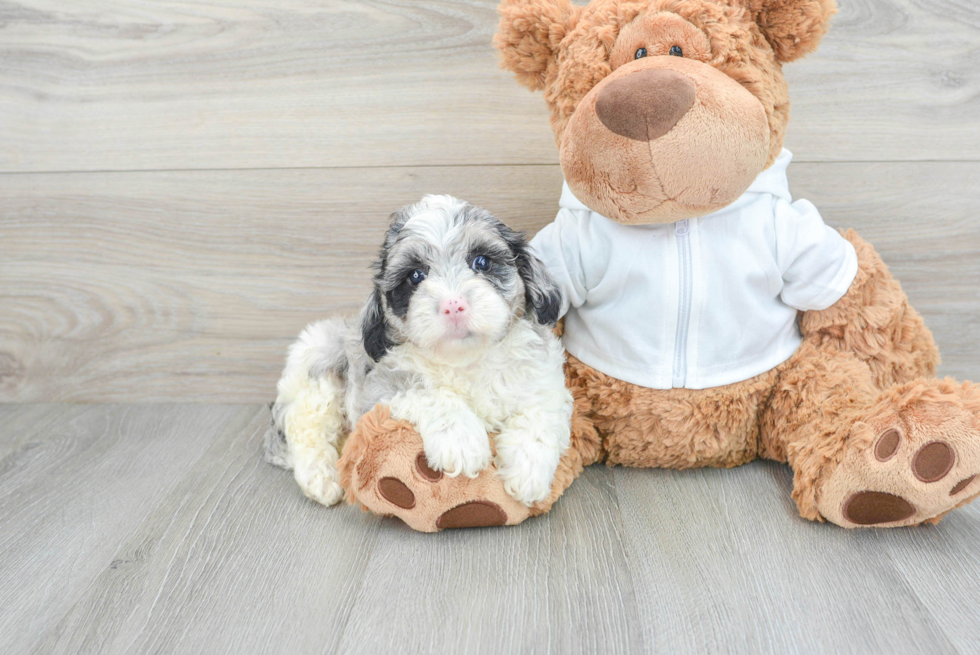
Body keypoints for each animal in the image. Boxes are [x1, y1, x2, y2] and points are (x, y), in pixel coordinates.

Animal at [268, 195, 576, 508]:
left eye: (482, 262)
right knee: (306, 427)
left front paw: (528, 472)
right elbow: (429, 393)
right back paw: (321, 478)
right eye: (415, 276)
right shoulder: (378, 389)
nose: (453, 305)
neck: (467, 360)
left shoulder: (543, 380)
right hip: (318, 361)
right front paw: (461, 439)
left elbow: (540, 414)